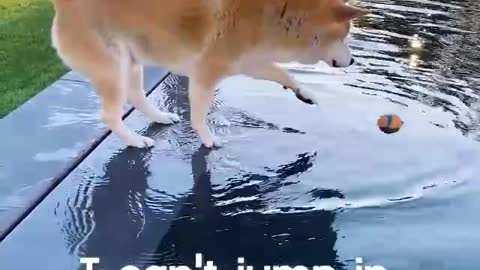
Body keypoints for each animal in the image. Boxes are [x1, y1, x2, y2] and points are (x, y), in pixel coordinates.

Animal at [50, 0, 368, 148]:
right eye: (346, 35)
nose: (353, 60)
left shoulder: (250, 62)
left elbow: (283, 74)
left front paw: (305, 93)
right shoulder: (205, 73)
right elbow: (199, 115)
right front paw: (207, 138)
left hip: (133, 61)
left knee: (136, 96)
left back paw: (159, 117)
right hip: (114, 68)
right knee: (110, 115)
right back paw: (135, 140)